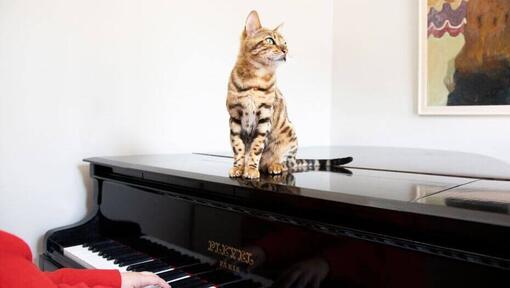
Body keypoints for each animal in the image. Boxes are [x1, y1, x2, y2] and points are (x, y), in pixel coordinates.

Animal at [226, 11, 350, 179]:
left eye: (285, 43)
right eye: (270, 40)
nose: (285, 50)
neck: (254, 79)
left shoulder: (265, 116)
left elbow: (256, 148)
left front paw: (251, 169)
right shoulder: (235, 117)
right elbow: (238, 147)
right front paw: (239, 167)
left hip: (290, 134)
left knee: (286, 164)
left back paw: (274, 165)